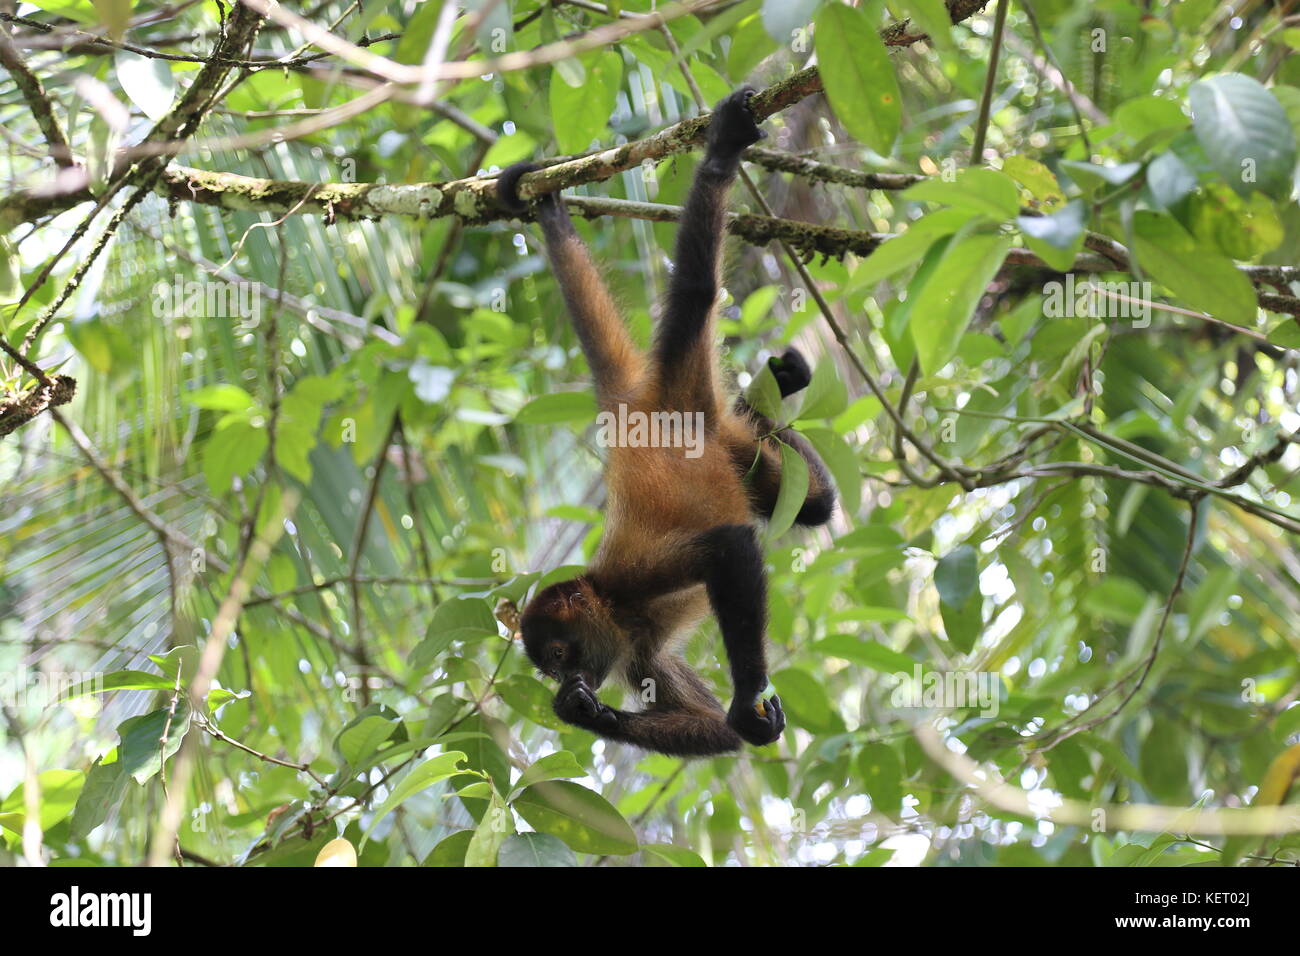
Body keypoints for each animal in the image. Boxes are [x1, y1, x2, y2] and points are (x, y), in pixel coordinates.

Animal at [496, 91, 832, 764]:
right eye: (550, 669)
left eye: (558, 652)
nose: (568, 680)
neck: (610, 604)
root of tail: (638, 407)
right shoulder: (635, 648)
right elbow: (721, 730)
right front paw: (582, 712)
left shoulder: (631, 583)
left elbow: (730, 547)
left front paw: (749, 697)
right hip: (729, 444)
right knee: (809, 504)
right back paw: (766, 398)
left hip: (684, 375)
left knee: (698, 291)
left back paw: (721, 156)